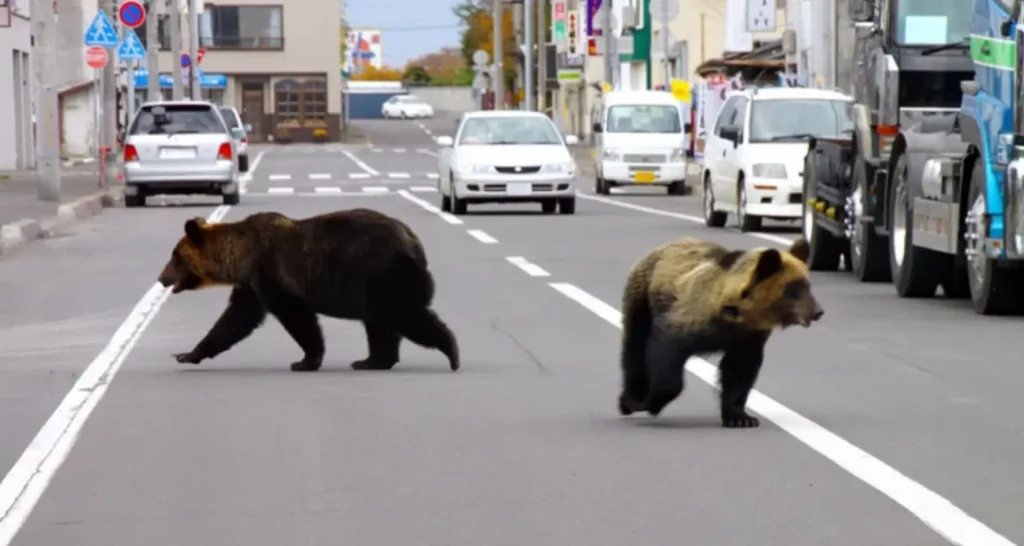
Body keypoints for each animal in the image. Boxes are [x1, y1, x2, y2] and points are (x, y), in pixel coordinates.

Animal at [156, 209, 460, 372]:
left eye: (175, 257)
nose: (161, 278)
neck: (240, 257)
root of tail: (414, 242)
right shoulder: (251, 283)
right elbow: (235, 319)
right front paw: (187, 354)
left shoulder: (270, 274)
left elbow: (296, 317)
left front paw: (305, 360)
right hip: (373, 284)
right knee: (380, 323)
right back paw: (371, 360)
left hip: (380, 273)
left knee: (401, 314)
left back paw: (451, 351)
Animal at [616, 237, 822, 428]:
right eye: (793, 289)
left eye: (808, 285)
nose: (818, 312)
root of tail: (661, 247)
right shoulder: (689, 318)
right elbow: (666, 351)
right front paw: (652, 402)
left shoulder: (748, 338)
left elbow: (739, 371)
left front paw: (742, 418)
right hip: (642, 295)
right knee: (635, 345)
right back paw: (629, 400)